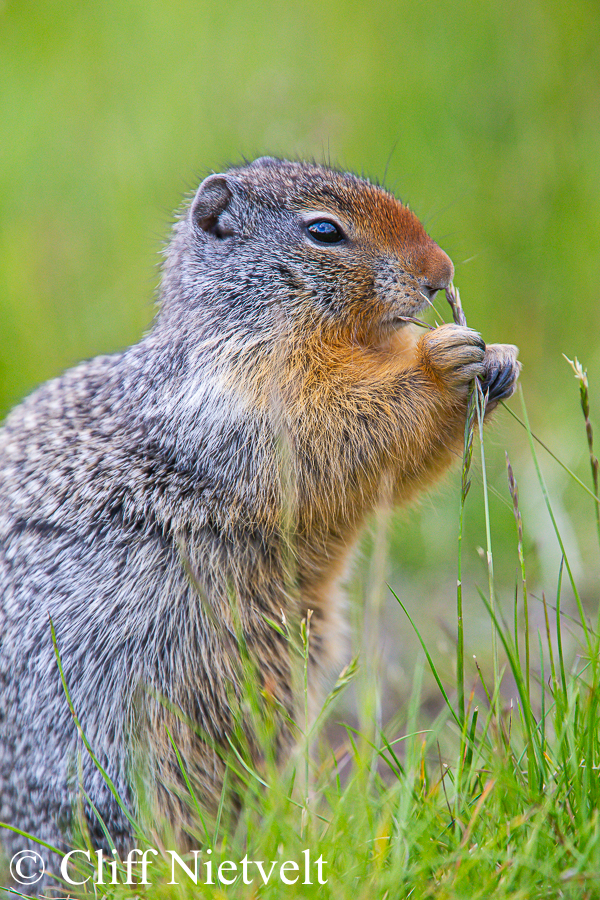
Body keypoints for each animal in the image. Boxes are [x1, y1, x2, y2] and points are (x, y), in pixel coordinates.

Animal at [0, 156, 516, 884]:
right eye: (324, 230)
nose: (440, 272)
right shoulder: (244, 394)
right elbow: (331, 423)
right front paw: (443, 360)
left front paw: (498, 358)